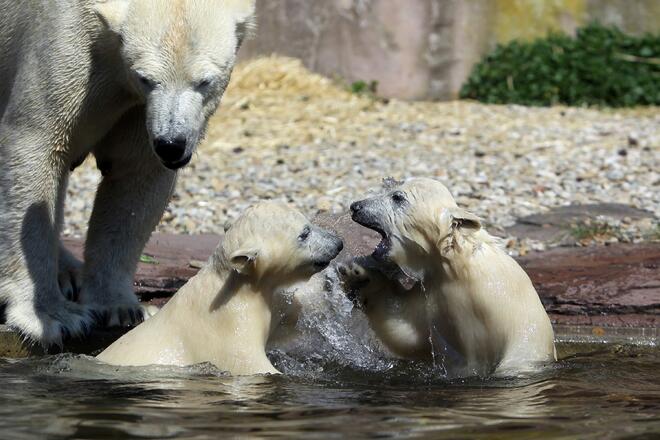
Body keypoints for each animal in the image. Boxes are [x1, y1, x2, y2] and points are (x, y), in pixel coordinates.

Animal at [0, 0, 255, 348]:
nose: (171, 145)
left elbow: (136, 173)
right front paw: (52, 317)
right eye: (146, 78)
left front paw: (118, 307)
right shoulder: (66, 40)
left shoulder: (138, 108)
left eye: (205, 81)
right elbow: (35, 147)